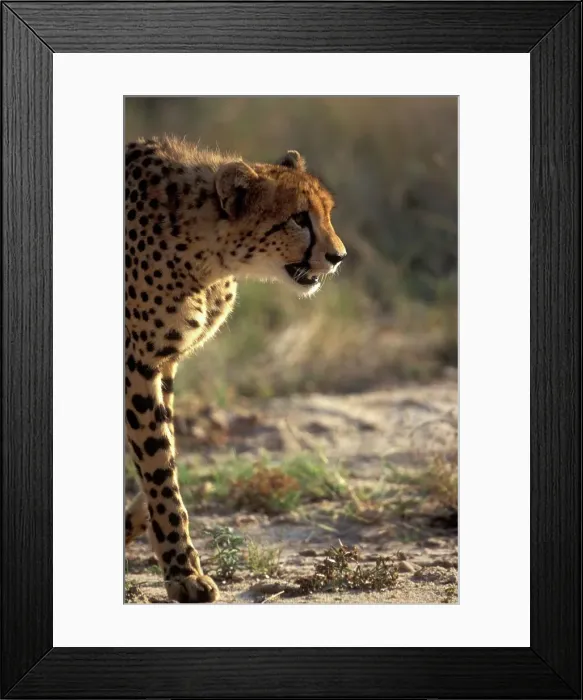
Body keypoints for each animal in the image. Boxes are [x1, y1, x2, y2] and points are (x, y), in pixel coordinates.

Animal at [124, 135, 346, 602]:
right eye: (298, 218)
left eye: (327, 212)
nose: (338, 256)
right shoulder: (138, 364)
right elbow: (158, 465)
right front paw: (183, 572)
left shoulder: (161, 364)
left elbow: (162, 455)